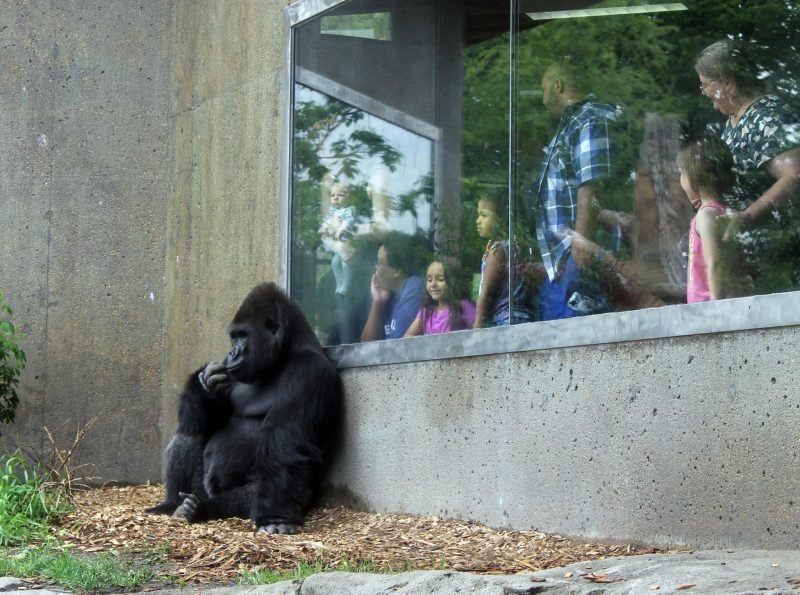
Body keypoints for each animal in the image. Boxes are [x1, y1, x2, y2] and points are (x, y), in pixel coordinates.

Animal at [148, 282, 342, 536]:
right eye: (233, 337)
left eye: (243, 335)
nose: (232, 353)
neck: (284, 354)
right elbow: (212, 417)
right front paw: (204, 384)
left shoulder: (308, 373)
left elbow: (285, 444)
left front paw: (276, 518)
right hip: (199, 488)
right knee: (193, 428)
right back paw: (172, 504)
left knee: (253, 491)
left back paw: (203, 509)